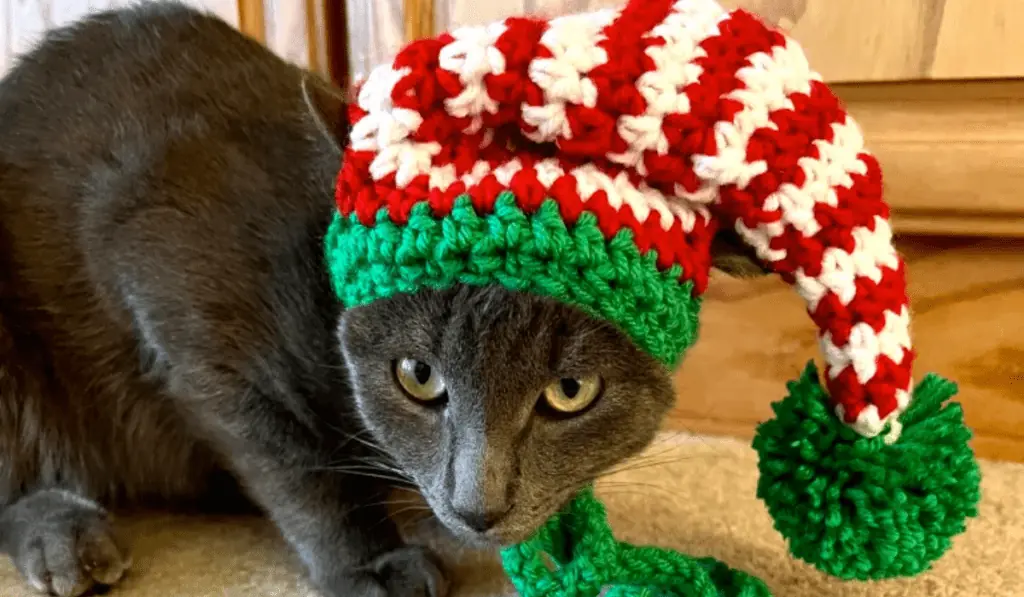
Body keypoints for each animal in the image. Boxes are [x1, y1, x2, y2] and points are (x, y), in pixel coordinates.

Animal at [0, 2, 765, 593]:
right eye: (417, 376)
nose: (477, 507)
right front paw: (370, 560)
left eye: (571, 391)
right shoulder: (174, 288)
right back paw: (63, 536)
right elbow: (296, 462)